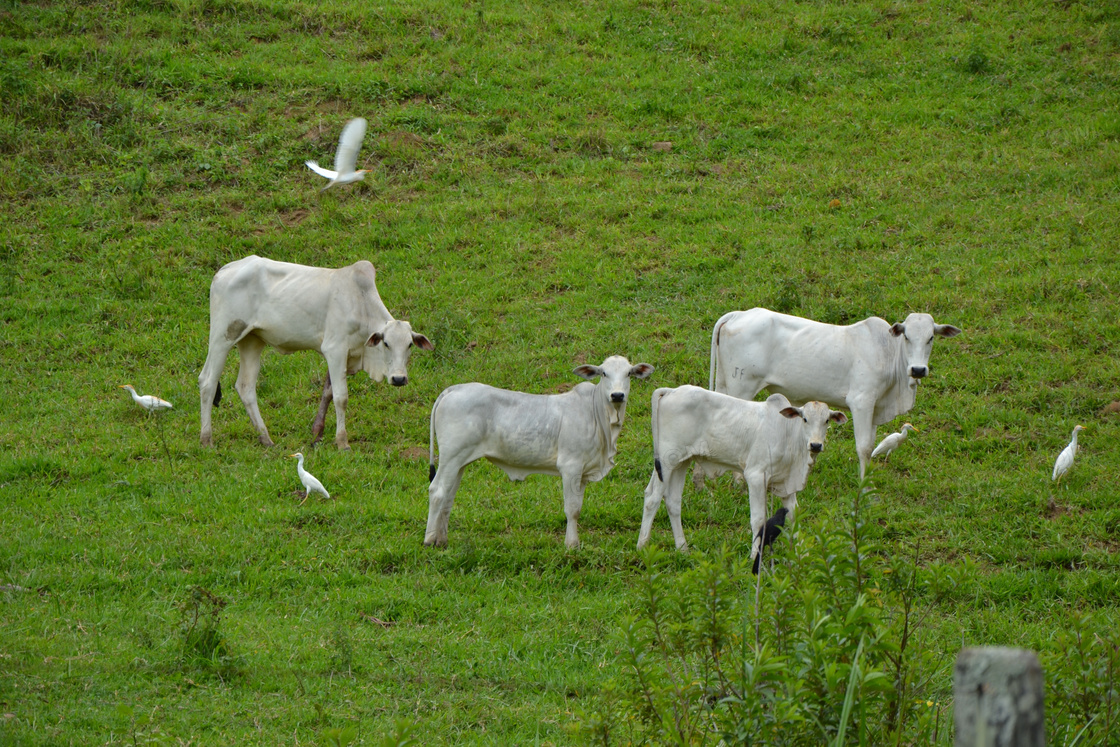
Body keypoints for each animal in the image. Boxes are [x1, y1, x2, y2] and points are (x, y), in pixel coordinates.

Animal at [199, 255, 430, 450]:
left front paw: (317, 434)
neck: (360, 303)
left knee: (245, 387)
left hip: (252, 341)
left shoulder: (344, 356)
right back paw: (206, 440)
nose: (399, 379)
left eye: (409, 345)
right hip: (223, 336)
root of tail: (225, 270)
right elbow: (341, 397)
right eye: (386, 343)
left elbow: (328, 392)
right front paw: (342, 443)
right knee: (207, 381)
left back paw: (266, 438)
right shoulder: (335, 349)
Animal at [425, 356, 654, 548]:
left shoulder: (583, 473)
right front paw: (571, 545)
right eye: (604, 373)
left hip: (460, 462)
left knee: (448, 497)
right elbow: (572, 509)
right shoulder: (570, 467)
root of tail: (455, 389)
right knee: (437, 491)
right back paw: (429, 540)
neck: (599, 416)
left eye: (629, 373)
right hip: (451, 457)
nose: (617, 395)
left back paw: (441, 540)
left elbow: (578, 508)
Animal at [636, 385, 842, 555]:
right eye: (805, 419)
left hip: (681, 462)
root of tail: (671, 391)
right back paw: (642, 546)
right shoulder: (755, 476)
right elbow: (758, 520)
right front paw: (754, 556)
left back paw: (683, 549)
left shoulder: (786, 484)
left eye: (826, 420)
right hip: (667, 461)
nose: (816, 445)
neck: (787, 434)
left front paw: (802, 556)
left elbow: (794, 517)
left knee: (672, 501)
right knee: (653, 499)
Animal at [707, 309, 963, 479]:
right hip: (742, 386)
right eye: (907, 336)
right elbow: (864, 447)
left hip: (724, 384)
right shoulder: (861, 402)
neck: (888, 353)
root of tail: (738, 314)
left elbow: (872, 445)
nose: (918, 369)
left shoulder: (875, 408)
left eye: (931, 337)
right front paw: (863, 486)